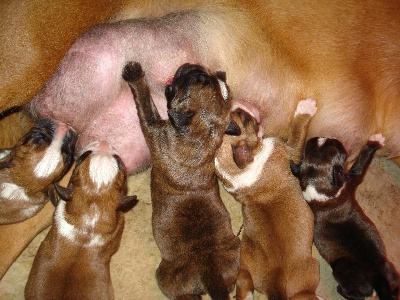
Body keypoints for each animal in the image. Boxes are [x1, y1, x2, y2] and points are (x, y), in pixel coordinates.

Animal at [122, 61, 241, 300]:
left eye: (197, 78)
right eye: (205, 77)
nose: (192, 65)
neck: (202, 136)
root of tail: (209, 269)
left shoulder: (152, 126)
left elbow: (144, 101)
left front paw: (134, 74)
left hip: (165, 277)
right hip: (235, 251)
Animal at [290, 135, 400, 300]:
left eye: (323, 143)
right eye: (336, 147)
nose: (334, 138)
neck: (319, 185)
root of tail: (378, 277)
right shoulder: (352, 179)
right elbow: (361, 162)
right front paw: (375, 142)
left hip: (391, 272)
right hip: (342, 268)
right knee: (356, 294)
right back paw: (340, 290)